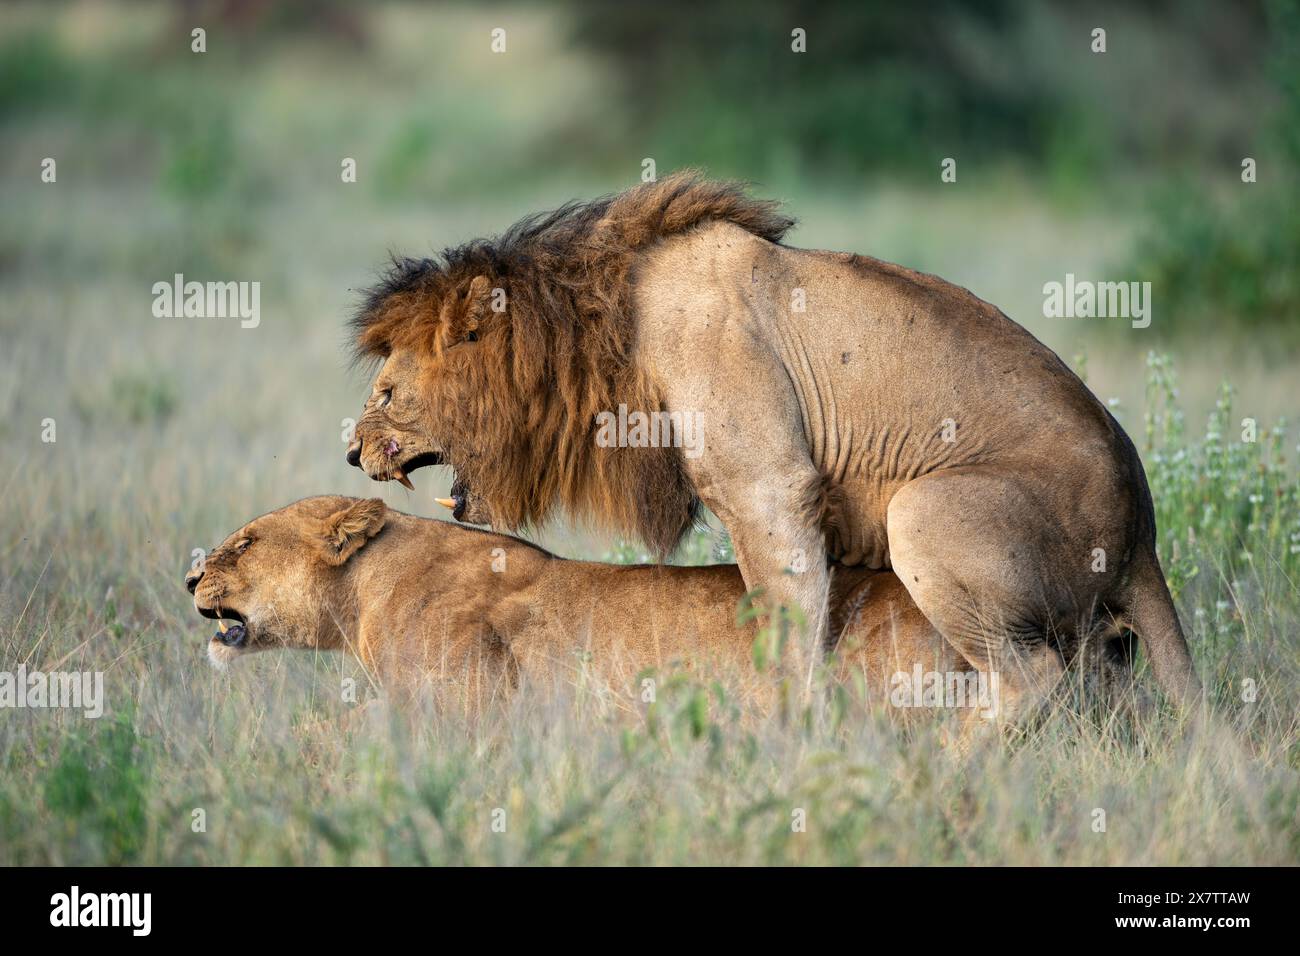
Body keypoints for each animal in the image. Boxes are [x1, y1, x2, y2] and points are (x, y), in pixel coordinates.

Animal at [345, 174, 1196, 723]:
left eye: (385, 394)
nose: (353, 455)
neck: (605, 327)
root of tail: (1143, 532)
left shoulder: (769, 486)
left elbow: (785, 625)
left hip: (927, 510)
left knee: (1033, 677)